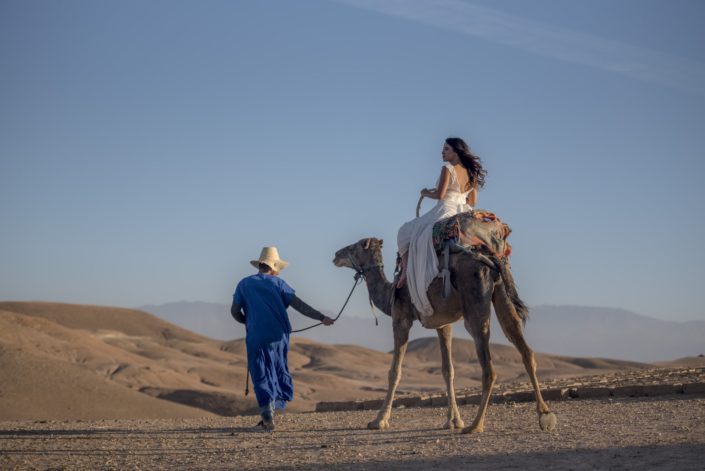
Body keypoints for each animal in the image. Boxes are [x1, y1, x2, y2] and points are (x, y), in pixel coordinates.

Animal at [330, 240, 556, 436]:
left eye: (355, 246)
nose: (336, 255)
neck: (390, 291)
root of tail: (491, 261)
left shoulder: (401, 318)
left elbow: (394, 372)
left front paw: (379, 420)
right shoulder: (443, 325)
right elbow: (448, 370)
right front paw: (453, 420)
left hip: (475, 306)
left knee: (489, 368)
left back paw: (476, 425)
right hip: (502, 296)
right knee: (525, 349)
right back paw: (544, 414)